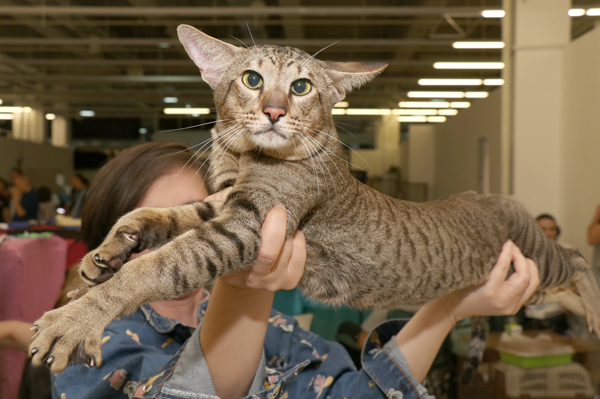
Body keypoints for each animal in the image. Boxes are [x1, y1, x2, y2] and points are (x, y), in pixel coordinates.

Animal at [29, 25, 600, 382]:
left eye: (301, 87)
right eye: (252, 79)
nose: (275, 111)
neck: (245, 157)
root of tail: (490, 195)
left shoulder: (249, 222)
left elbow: (157, 267)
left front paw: (77, 317)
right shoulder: (222, 204)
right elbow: (158, 217)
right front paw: (109, 250)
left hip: (537, 257)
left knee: (576, 259)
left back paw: (593, 308)